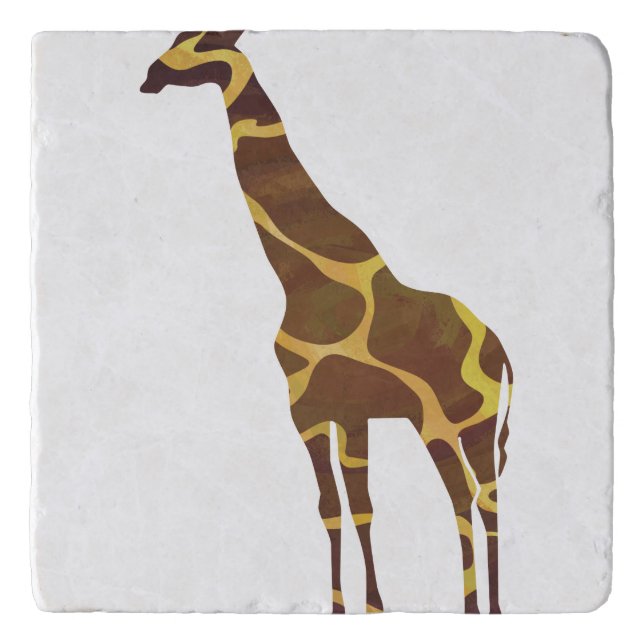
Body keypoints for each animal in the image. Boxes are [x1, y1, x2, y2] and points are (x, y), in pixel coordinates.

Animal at [141, 30, 514, 615]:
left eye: (203, 40)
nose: (149, 76)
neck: (302, 281)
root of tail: (502, 351)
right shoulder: (333, 412)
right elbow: (344, 506)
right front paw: (357, 608)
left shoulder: (319, 410)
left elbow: (344, 505)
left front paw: (362, 606)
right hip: (443, 423)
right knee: (468, 496)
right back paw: (479, 605)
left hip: (464, 419)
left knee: (479, 496)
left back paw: (486, 607)